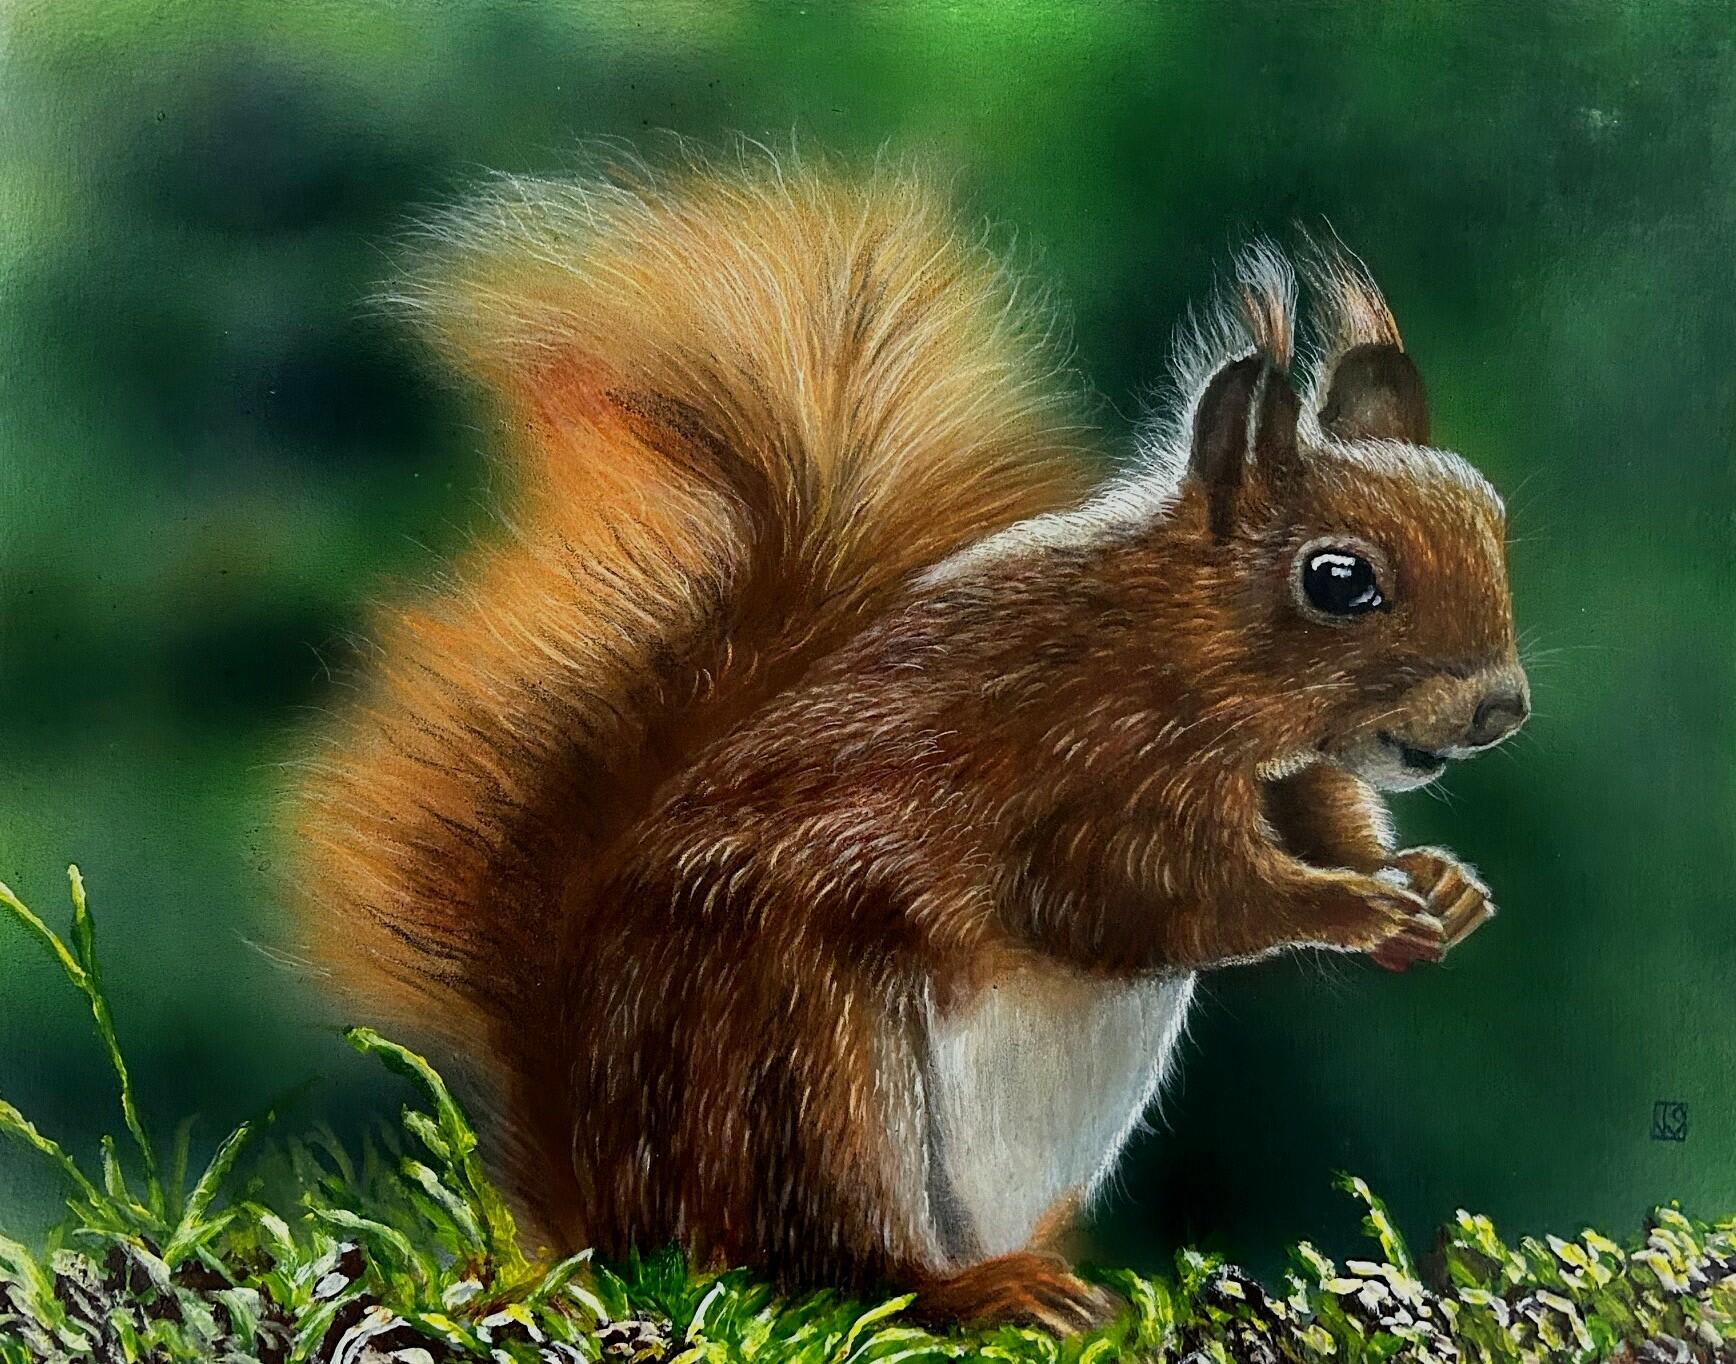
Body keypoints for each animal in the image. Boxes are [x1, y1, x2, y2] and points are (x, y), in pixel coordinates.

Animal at [291, 149, 1528, 1334]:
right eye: (1337, 579)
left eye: (1494, 521)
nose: (1500, 707)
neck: (1175, 651)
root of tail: (613, 1213)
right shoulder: (1080, 768)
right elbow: (1148, 894)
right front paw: (1352, 905)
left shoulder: (1293, 777)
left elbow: (1327, 819)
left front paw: (1434, 885)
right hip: (804, 1062)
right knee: (824, 1258)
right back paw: (976, 1292)